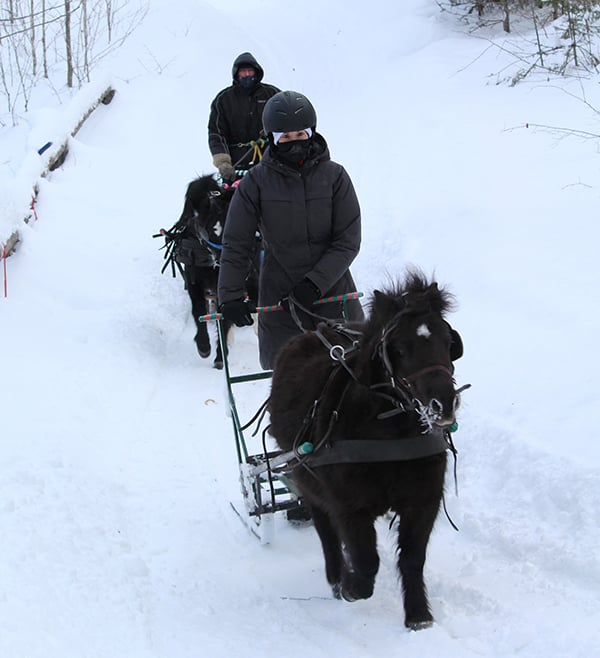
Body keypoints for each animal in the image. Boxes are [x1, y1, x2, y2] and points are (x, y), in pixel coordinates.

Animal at [157, 174, 258, 366]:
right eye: (212, 231)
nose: (246, 265)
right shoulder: (194, 281)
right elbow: (198, 311)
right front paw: (204, 345)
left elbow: (226, 316)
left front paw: (221, 354)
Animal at [268, 270, 464, 624]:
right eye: (400, 347)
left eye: (447, 340)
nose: (442, 404)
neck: (389, 430)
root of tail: (305, 336)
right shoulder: (349, 505)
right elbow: (365, 562)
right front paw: (350, 586)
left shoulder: (423, 500)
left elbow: (413, 558)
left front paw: (418, 616)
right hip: (308, 479)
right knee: (325, 527)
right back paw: (336, 576)